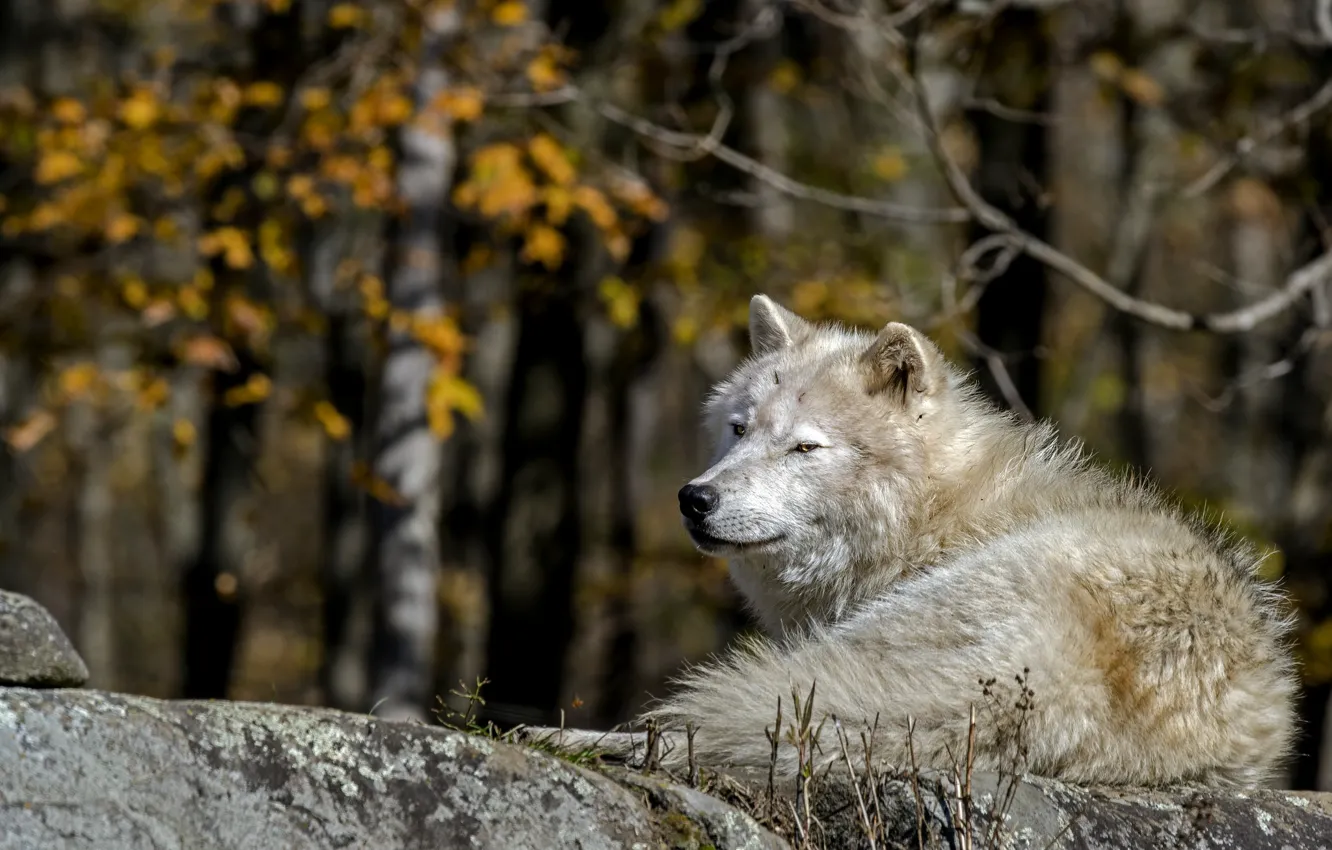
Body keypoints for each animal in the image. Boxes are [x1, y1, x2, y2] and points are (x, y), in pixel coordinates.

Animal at [539, 294, 1299, 789]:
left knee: (678, 734)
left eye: (805, 448)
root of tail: (1058, 679)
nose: (695, 499)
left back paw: (560, 737)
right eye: (739, 429)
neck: (935, 515)